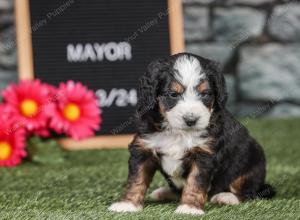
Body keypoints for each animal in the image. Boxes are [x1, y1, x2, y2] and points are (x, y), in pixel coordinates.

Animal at [108, 52, 274, 215]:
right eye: (173, 94)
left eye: (205, 94)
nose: (191, 120)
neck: (178, 133)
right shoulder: (143, 148)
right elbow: (136, 179)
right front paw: (127, 204)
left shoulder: (204, 155)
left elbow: (195, 182)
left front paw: (189, 208)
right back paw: (164, 192)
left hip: (252, 163)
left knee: (250, 191)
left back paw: (227, 197)